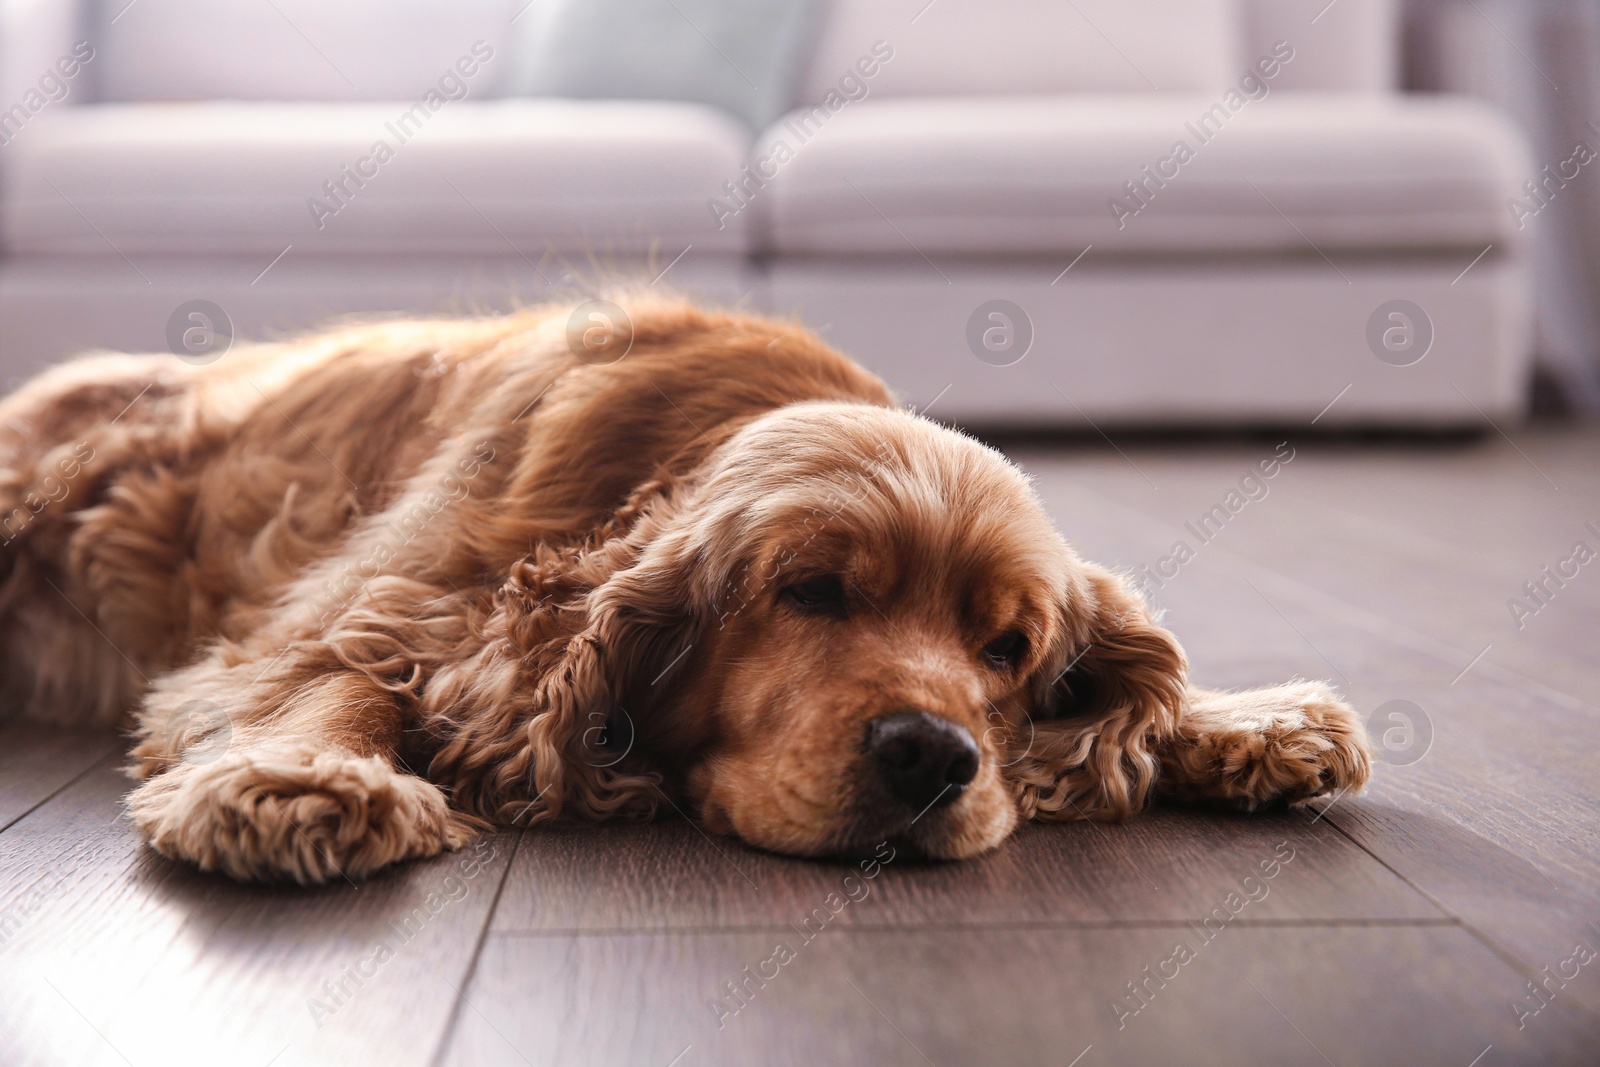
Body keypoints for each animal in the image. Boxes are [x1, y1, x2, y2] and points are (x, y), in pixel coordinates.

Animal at [0, 295, 1376, 883]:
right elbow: (341, 675)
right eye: (812, 589)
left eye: (1007, 647)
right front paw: (305, 781)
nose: (934, 758)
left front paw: (1256, 720)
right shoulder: (364, 605)